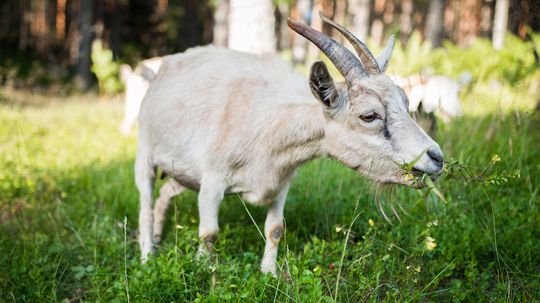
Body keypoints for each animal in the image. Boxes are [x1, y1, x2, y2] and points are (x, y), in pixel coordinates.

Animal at [134, 13, 442, 276]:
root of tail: (158, 73)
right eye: (369, 115)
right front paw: (205, 273)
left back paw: (159, 237)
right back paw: (148, 256)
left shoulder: (281, 182)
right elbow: (209, 233)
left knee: (165, 195)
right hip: (145, 153)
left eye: (406, 101)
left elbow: (275, 229)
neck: (269, 124)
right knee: (145, 204)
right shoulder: (212, 181)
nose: (436, 157)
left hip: (183, 172)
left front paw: (268, 274)